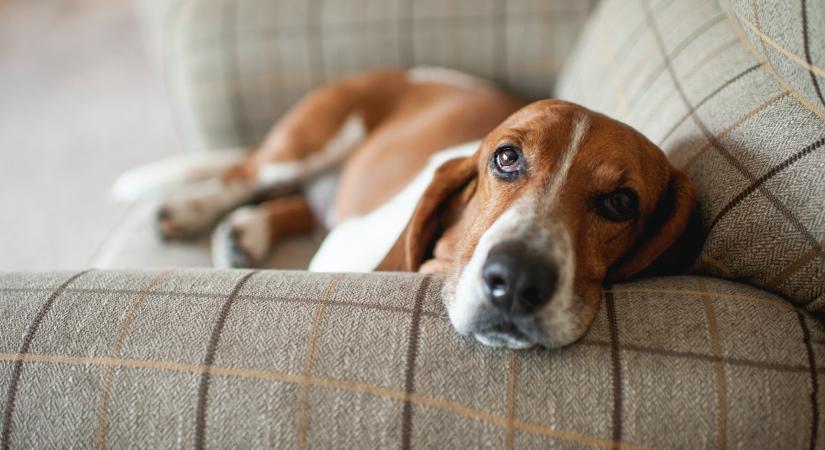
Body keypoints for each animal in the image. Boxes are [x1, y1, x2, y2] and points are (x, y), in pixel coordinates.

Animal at [116, 67, 696, 350]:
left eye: (620, 202)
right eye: (506, 158)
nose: (515, 280)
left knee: (293, 204)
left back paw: (248, 232)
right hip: (304, 143)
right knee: (241, 177)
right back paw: (190, 210)